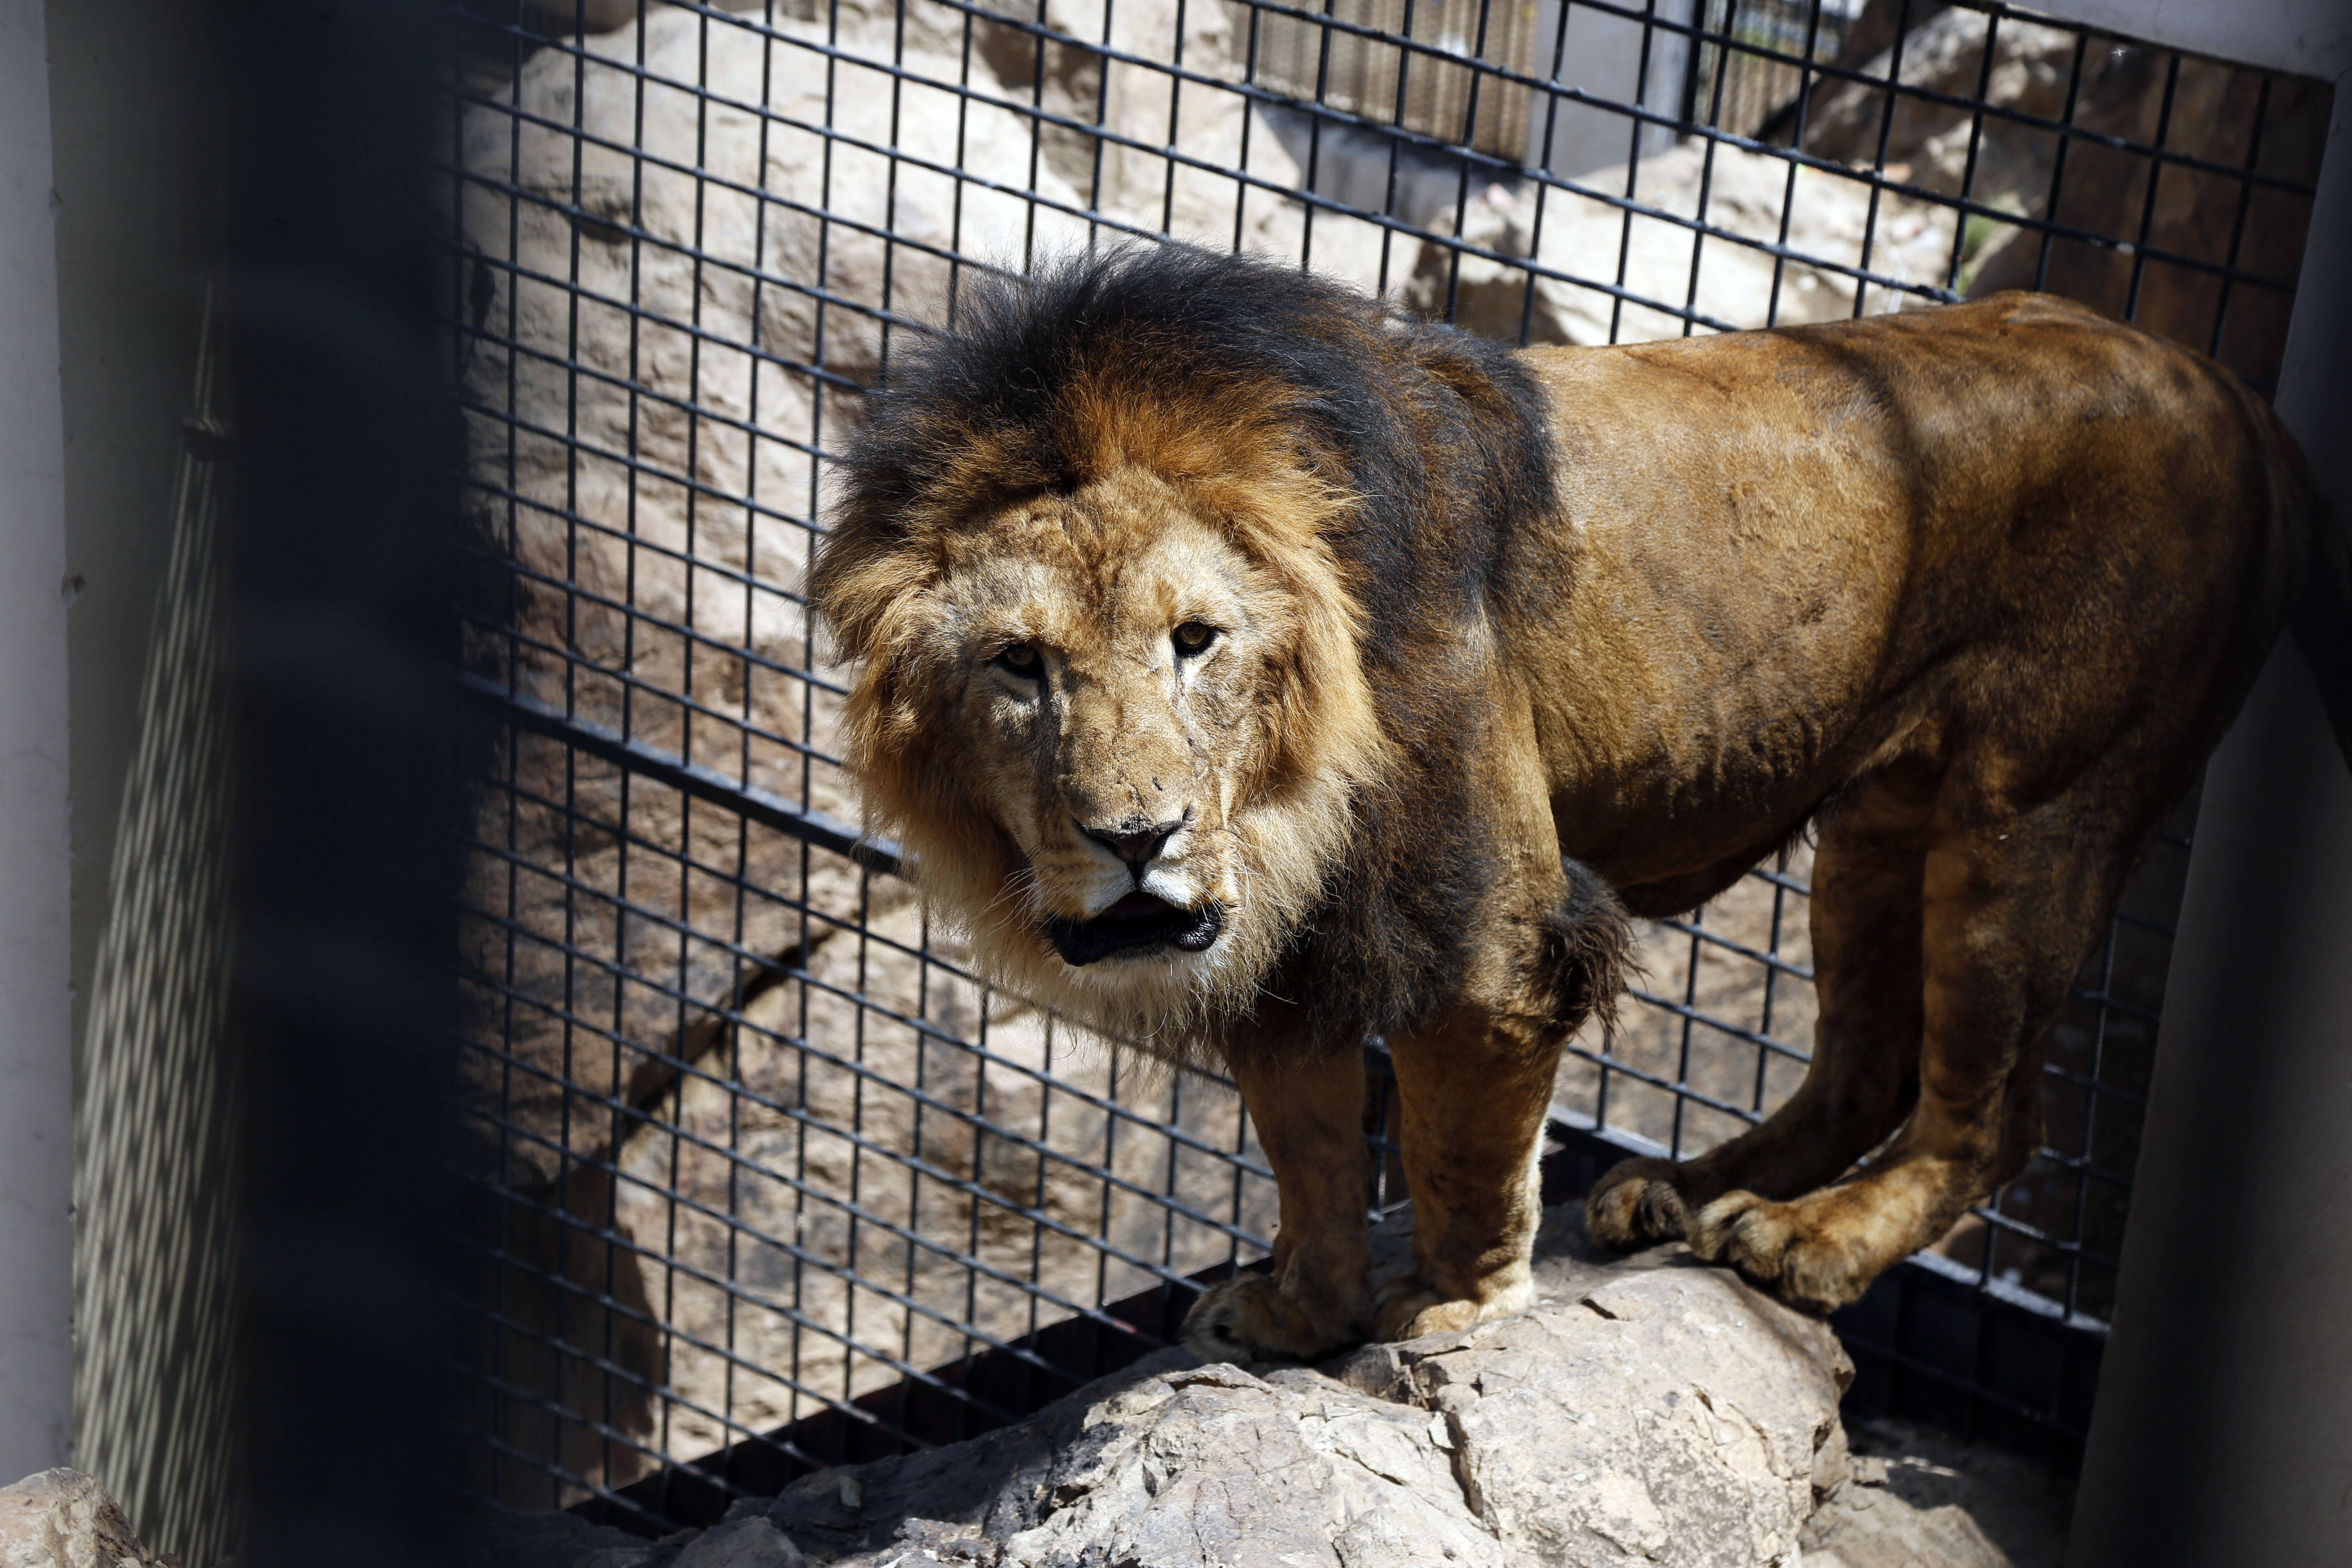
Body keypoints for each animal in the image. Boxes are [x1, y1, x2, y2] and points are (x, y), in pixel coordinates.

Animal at [813, 245, 2352, 1363]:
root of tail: (2241, 397)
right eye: (1020, 666)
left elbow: (1455, 1142)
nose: (1139, 842)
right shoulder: (1300, 934)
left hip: (2036, 807)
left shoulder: (1480, 926)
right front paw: (1298, 1312)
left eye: (1197, 640)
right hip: (1878, 819)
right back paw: (1693, 1194)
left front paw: (1455, 1307)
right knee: (1864, 1060)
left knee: (1989, 1116)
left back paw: (1817, 1240)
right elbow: (1307, 1144)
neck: (1286, 804)